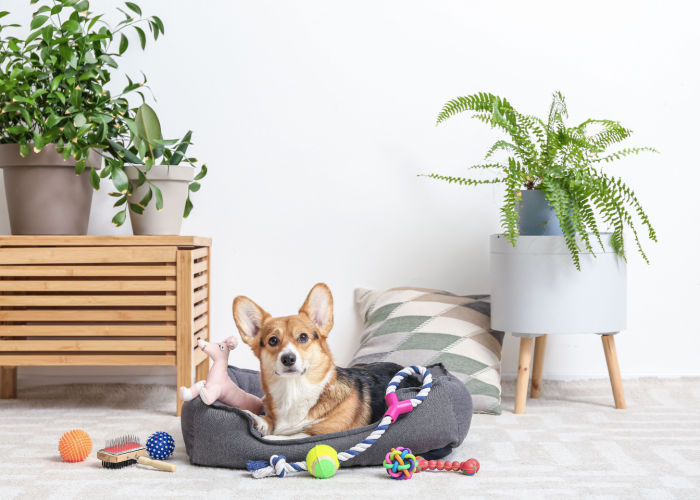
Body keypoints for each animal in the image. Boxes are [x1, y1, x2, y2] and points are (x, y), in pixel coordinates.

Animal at [232, 286, 408, 438]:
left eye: (303, 337)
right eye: (273, 340)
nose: (288, 358)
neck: (293, 390)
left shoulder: (326, 431)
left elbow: (288, 436)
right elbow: (268, 423)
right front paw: (255, 418)